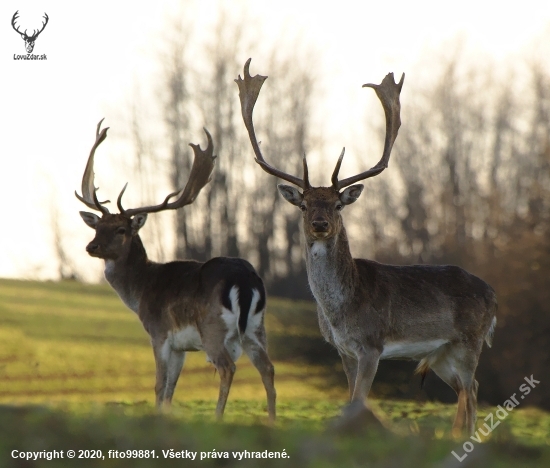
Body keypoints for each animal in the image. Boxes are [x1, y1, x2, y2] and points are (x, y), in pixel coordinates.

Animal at [74, 120, 276, 420]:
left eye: (121, 229)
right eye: (98, 226)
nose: (92, 246)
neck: (141, 292)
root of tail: (245, 280)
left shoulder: (159, 332)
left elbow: (159, 384)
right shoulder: (182, 346)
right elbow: (171, 388)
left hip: (213, 327)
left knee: (227, 367)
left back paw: (218, 418)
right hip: (256, 328)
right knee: (268, 369)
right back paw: (272, 421)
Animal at [237, 59, 500, 436]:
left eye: (337, 204)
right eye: (304, 206)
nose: (320, 224)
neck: (341, 310)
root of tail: (493, 294)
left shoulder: (372, 345)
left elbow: (359, 400)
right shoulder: (343, 350)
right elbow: (350, 398)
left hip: (470, 340)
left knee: (472, 391)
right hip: (442, 353)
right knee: (471, 389)